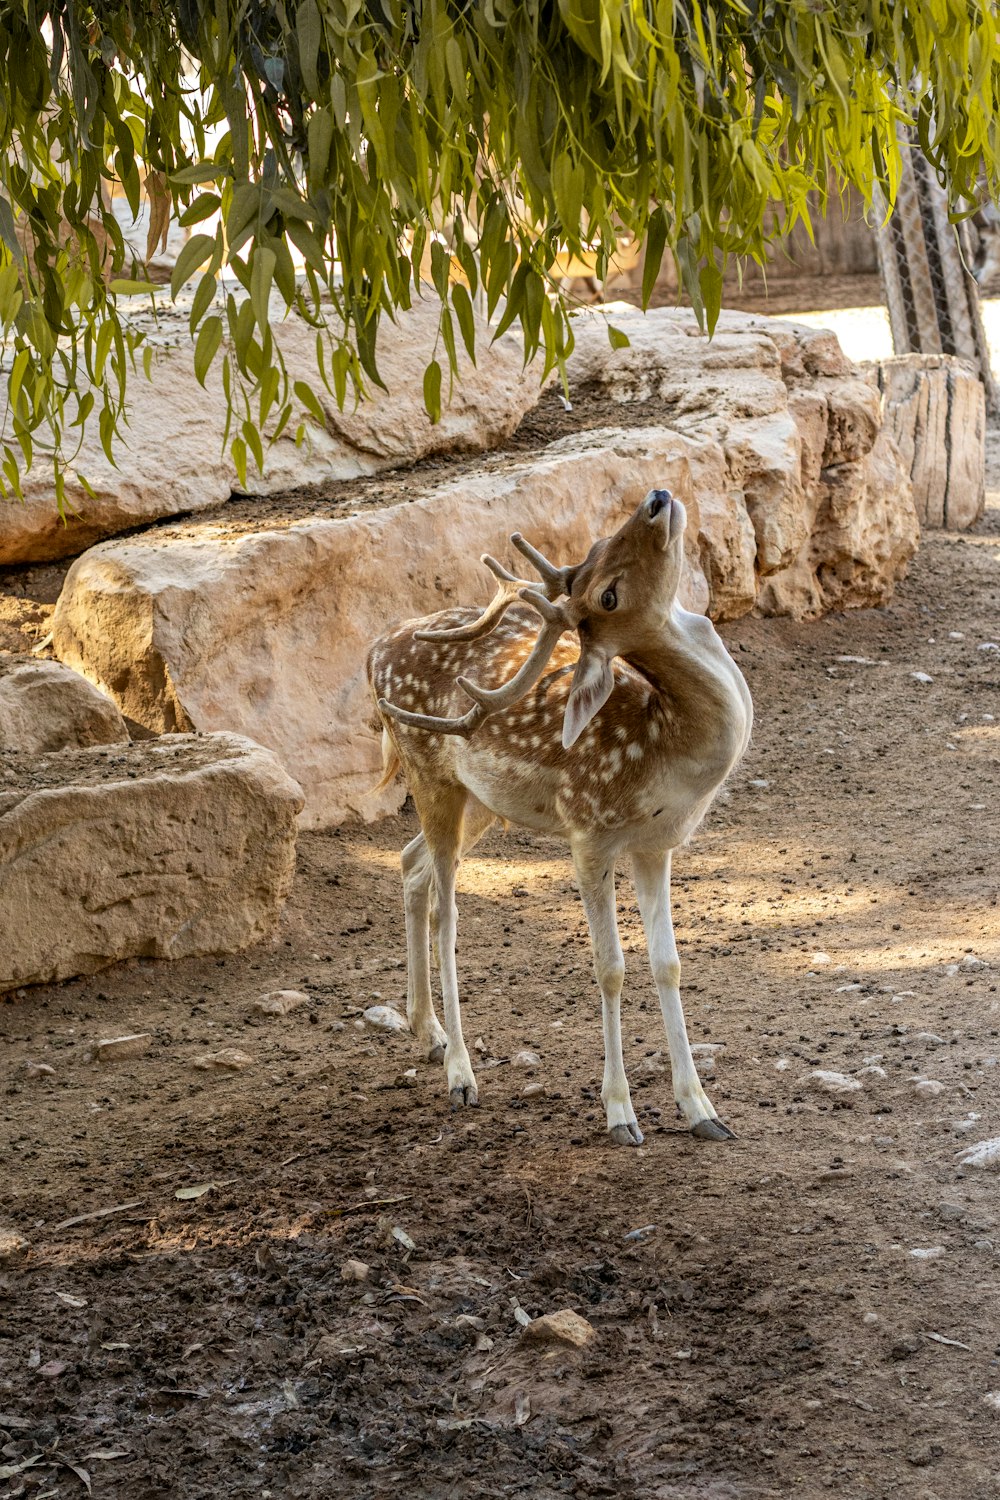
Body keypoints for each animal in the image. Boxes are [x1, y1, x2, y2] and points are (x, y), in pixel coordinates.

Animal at [371, 492, 755, 1146]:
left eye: (598, 546)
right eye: (608, 594)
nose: (657, 500)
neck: (665, 753)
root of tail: (374, 651)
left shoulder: (657, 844)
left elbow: (669, 963)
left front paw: (702, 1109)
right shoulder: (589, 832)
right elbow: (610, 967)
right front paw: (621, 1114)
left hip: (479, 800)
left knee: (409, 861)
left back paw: (429, 1033)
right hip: (429, 774)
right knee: (447, 911)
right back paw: (460, 1074)